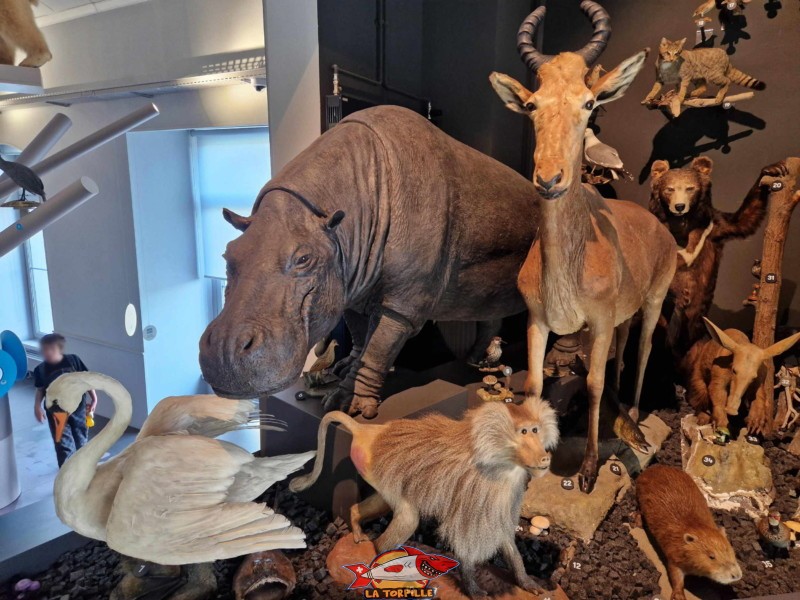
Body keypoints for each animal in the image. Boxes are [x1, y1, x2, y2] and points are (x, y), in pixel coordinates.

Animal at [490, 1, 680, 492]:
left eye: (589, 101)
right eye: (532, 104)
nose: (549, 179)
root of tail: (662, 230)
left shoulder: (596, 322)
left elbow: (592, 385)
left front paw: (590, 469)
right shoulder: (538, 321)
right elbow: (535, 385)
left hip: (653, 302)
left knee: (644, 349)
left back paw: (634, 411)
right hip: (622, 316)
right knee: (623, 350)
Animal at [648, 157, 792, 356]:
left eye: (690, 188)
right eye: (669, 188)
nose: (679, 207)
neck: (681, 227)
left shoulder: (714, 227)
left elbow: (743, 220)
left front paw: (773, 168)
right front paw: (680, 294)